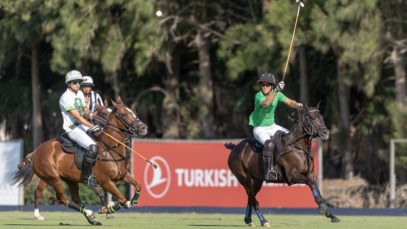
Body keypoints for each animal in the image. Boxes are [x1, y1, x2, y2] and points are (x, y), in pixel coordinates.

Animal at [10, 96, 148, 225]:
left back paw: (92, 219)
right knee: (60, 198)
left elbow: (138, 185)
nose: (143, 128)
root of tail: (35, 152)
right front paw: (108, 210)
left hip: (70, 180)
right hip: (53, 177)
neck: (110, 150)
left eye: (132, 112)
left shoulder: (123, 175)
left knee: (75, 199)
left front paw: (132, 201)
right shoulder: (105, 181)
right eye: (124, 114)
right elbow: (122, 200)